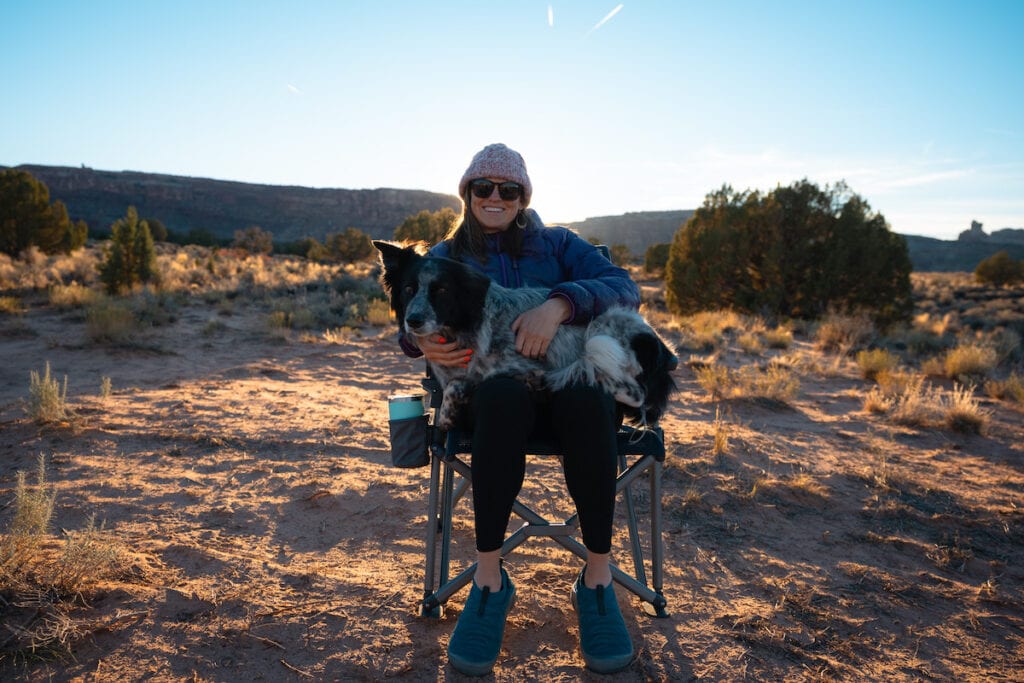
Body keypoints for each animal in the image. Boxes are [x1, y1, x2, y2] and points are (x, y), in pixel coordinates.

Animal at [372, 240, 675, 430]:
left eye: (442, 291)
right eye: (409, 289)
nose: (413, 321)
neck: (460, 326)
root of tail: (662, 352)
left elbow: (457, 389)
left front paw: (447, 418)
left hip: (603, 330)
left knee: (632, 390)